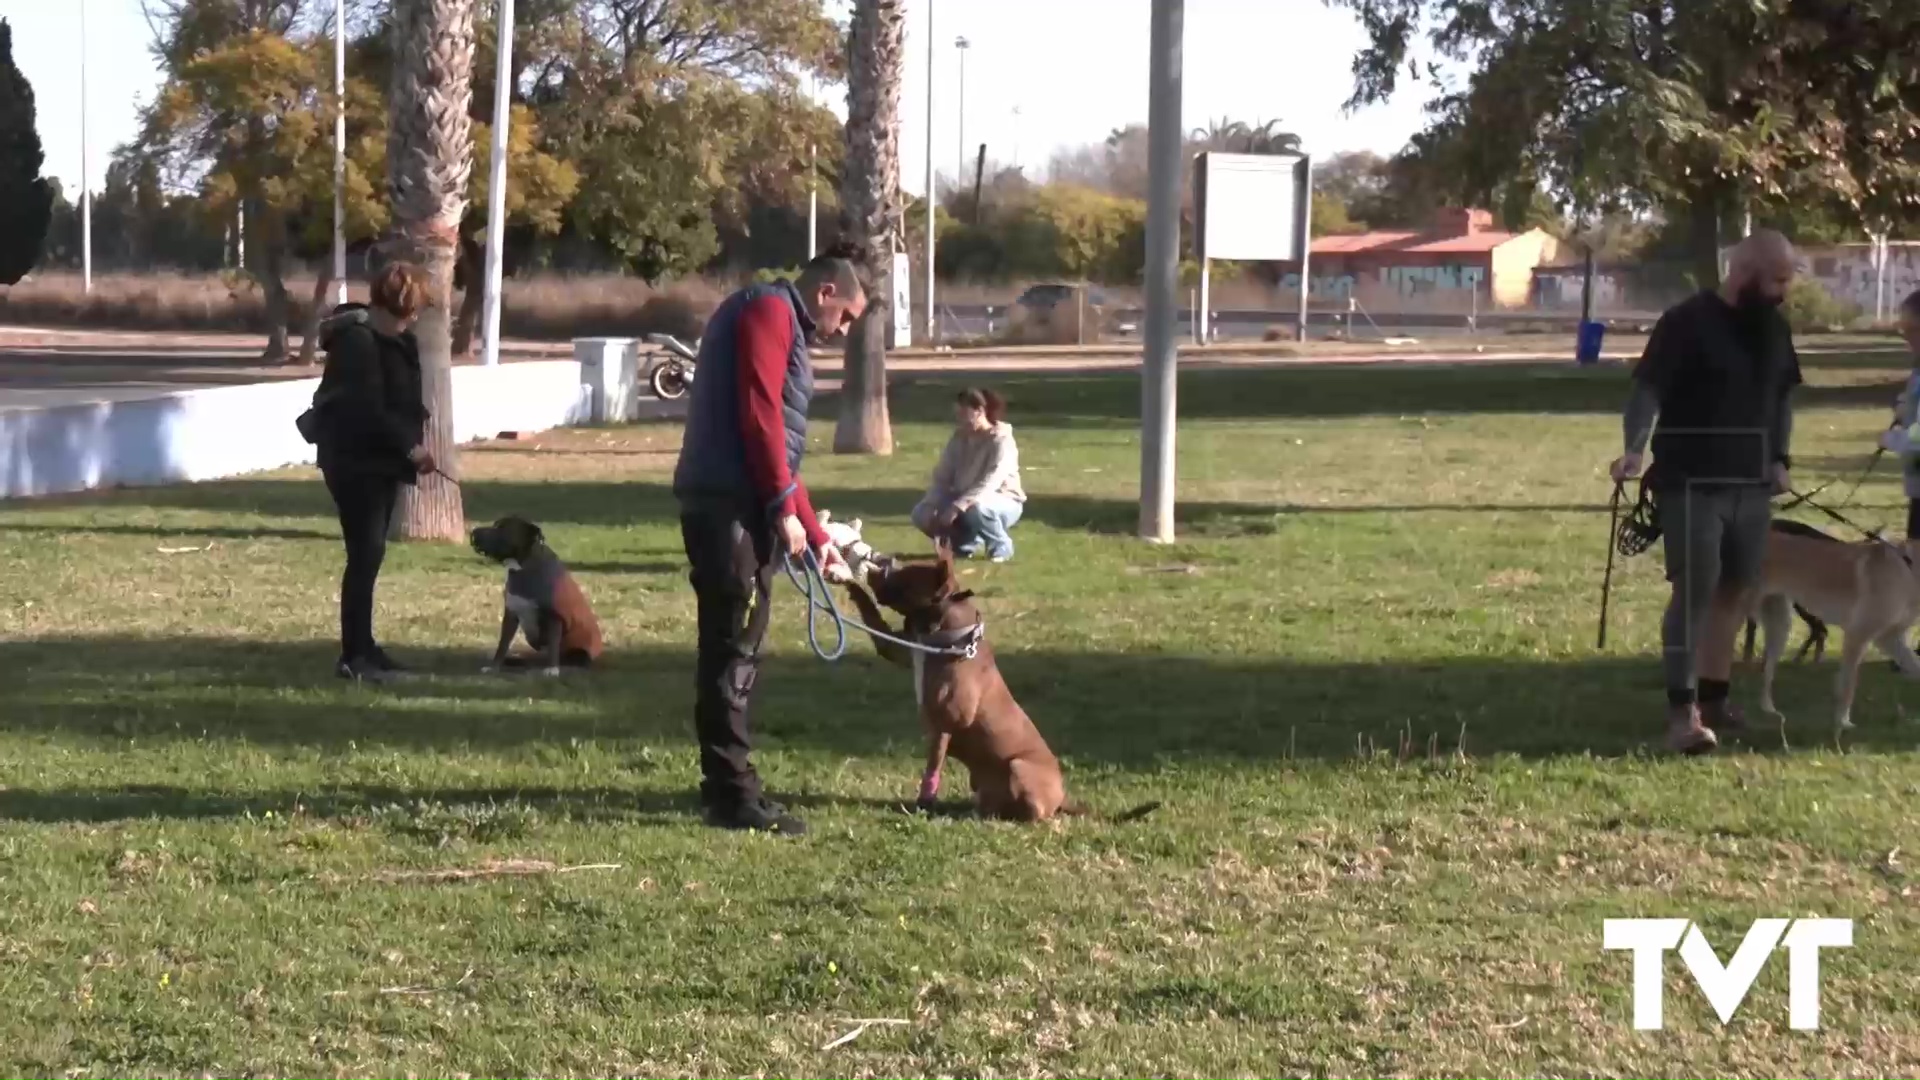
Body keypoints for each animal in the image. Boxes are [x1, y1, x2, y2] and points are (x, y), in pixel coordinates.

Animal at [464, 515, 599, 672]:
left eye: (502, 528)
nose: (474, 532)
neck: (522, 568)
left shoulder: (554, 617)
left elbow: (553, 646)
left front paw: (552, 669)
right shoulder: (511, 615)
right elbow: (502, 645)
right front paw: (494, 666)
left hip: (579, 651)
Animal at [837, 541, 1152, 818]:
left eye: (907, 575)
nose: (881, 561)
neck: (947, 633)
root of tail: (1062, 797)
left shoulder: (946, 723)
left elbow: (933, 767)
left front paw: (925, 801)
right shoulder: (899, 649)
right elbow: (872, 616)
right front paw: (848, 581)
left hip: (1018, 767)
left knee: (1037, 812)